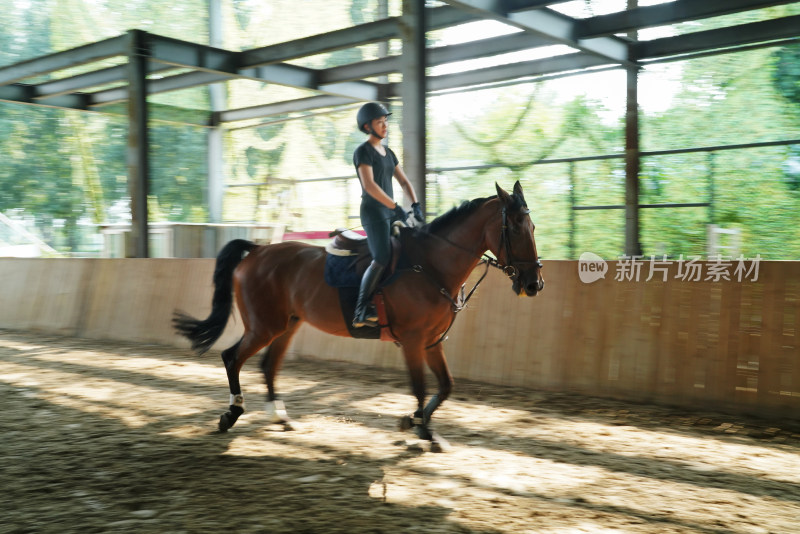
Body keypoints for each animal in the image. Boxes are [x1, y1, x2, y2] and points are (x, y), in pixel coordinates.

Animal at [171, 181, 540, 452]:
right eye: (515, 228)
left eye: (532, 226)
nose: (534, 284)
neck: (430, 265)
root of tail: (258, 250)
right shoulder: (413, 341)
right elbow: (420, 386)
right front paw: (419, 427)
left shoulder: (432, 341)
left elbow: (446, 385)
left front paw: (418, 424)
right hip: (264, 326)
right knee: (232, 357)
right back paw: (232, 414)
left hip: (287, 325)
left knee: (268, 366)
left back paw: (280, 417)